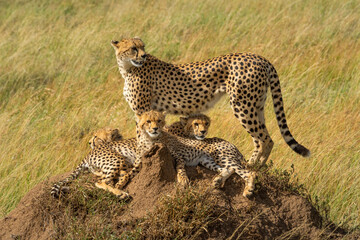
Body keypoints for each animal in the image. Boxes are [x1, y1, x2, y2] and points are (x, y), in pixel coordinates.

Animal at [111, 38, 310, 165]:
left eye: (142, 47)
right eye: (133, 48)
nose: (143, 56)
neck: (128, 68)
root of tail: (258, 57)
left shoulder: (142, 111)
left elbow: (141, 136)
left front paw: (140, 158)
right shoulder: (149, 112)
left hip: (242, 106)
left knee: (266, 139)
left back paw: (254, 167)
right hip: (256, 105)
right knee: (261, 138)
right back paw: (255, 164)